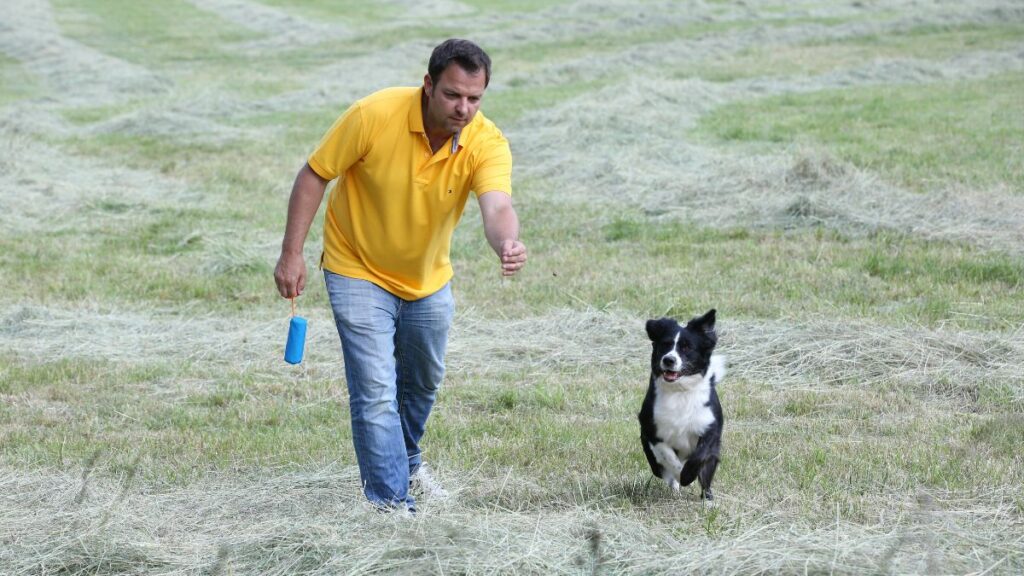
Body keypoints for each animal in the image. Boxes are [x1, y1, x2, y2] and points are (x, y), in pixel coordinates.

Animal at [634, 307, 724, 500]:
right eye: (665, 344)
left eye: (687, 347)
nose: (669, 360)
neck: (679, 391)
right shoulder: (651, 427)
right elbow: (666, 454)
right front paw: (678, 475)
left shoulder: (710, 426)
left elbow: (700, 455)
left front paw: (687, 475)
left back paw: (708, 498)